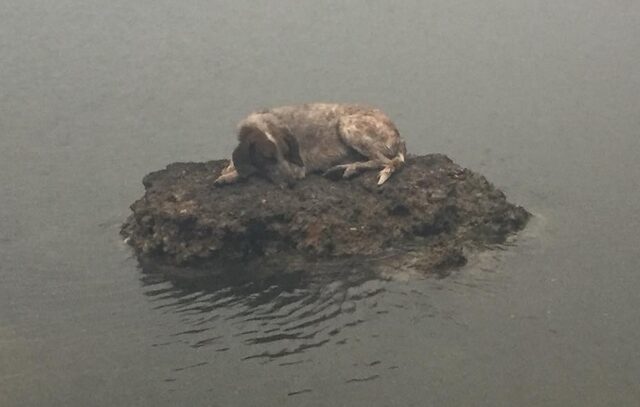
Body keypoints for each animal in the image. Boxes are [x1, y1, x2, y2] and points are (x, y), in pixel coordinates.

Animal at [214, 103, 404, 187]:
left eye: (286, 153)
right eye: (267, 158)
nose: (292, 182)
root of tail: (399, 137)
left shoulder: (298, 167)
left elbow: (253, 171)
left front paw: (229, 176)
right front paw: (229, 169)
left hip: (346, 125)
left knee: (385, 161)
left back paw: (348, 168)